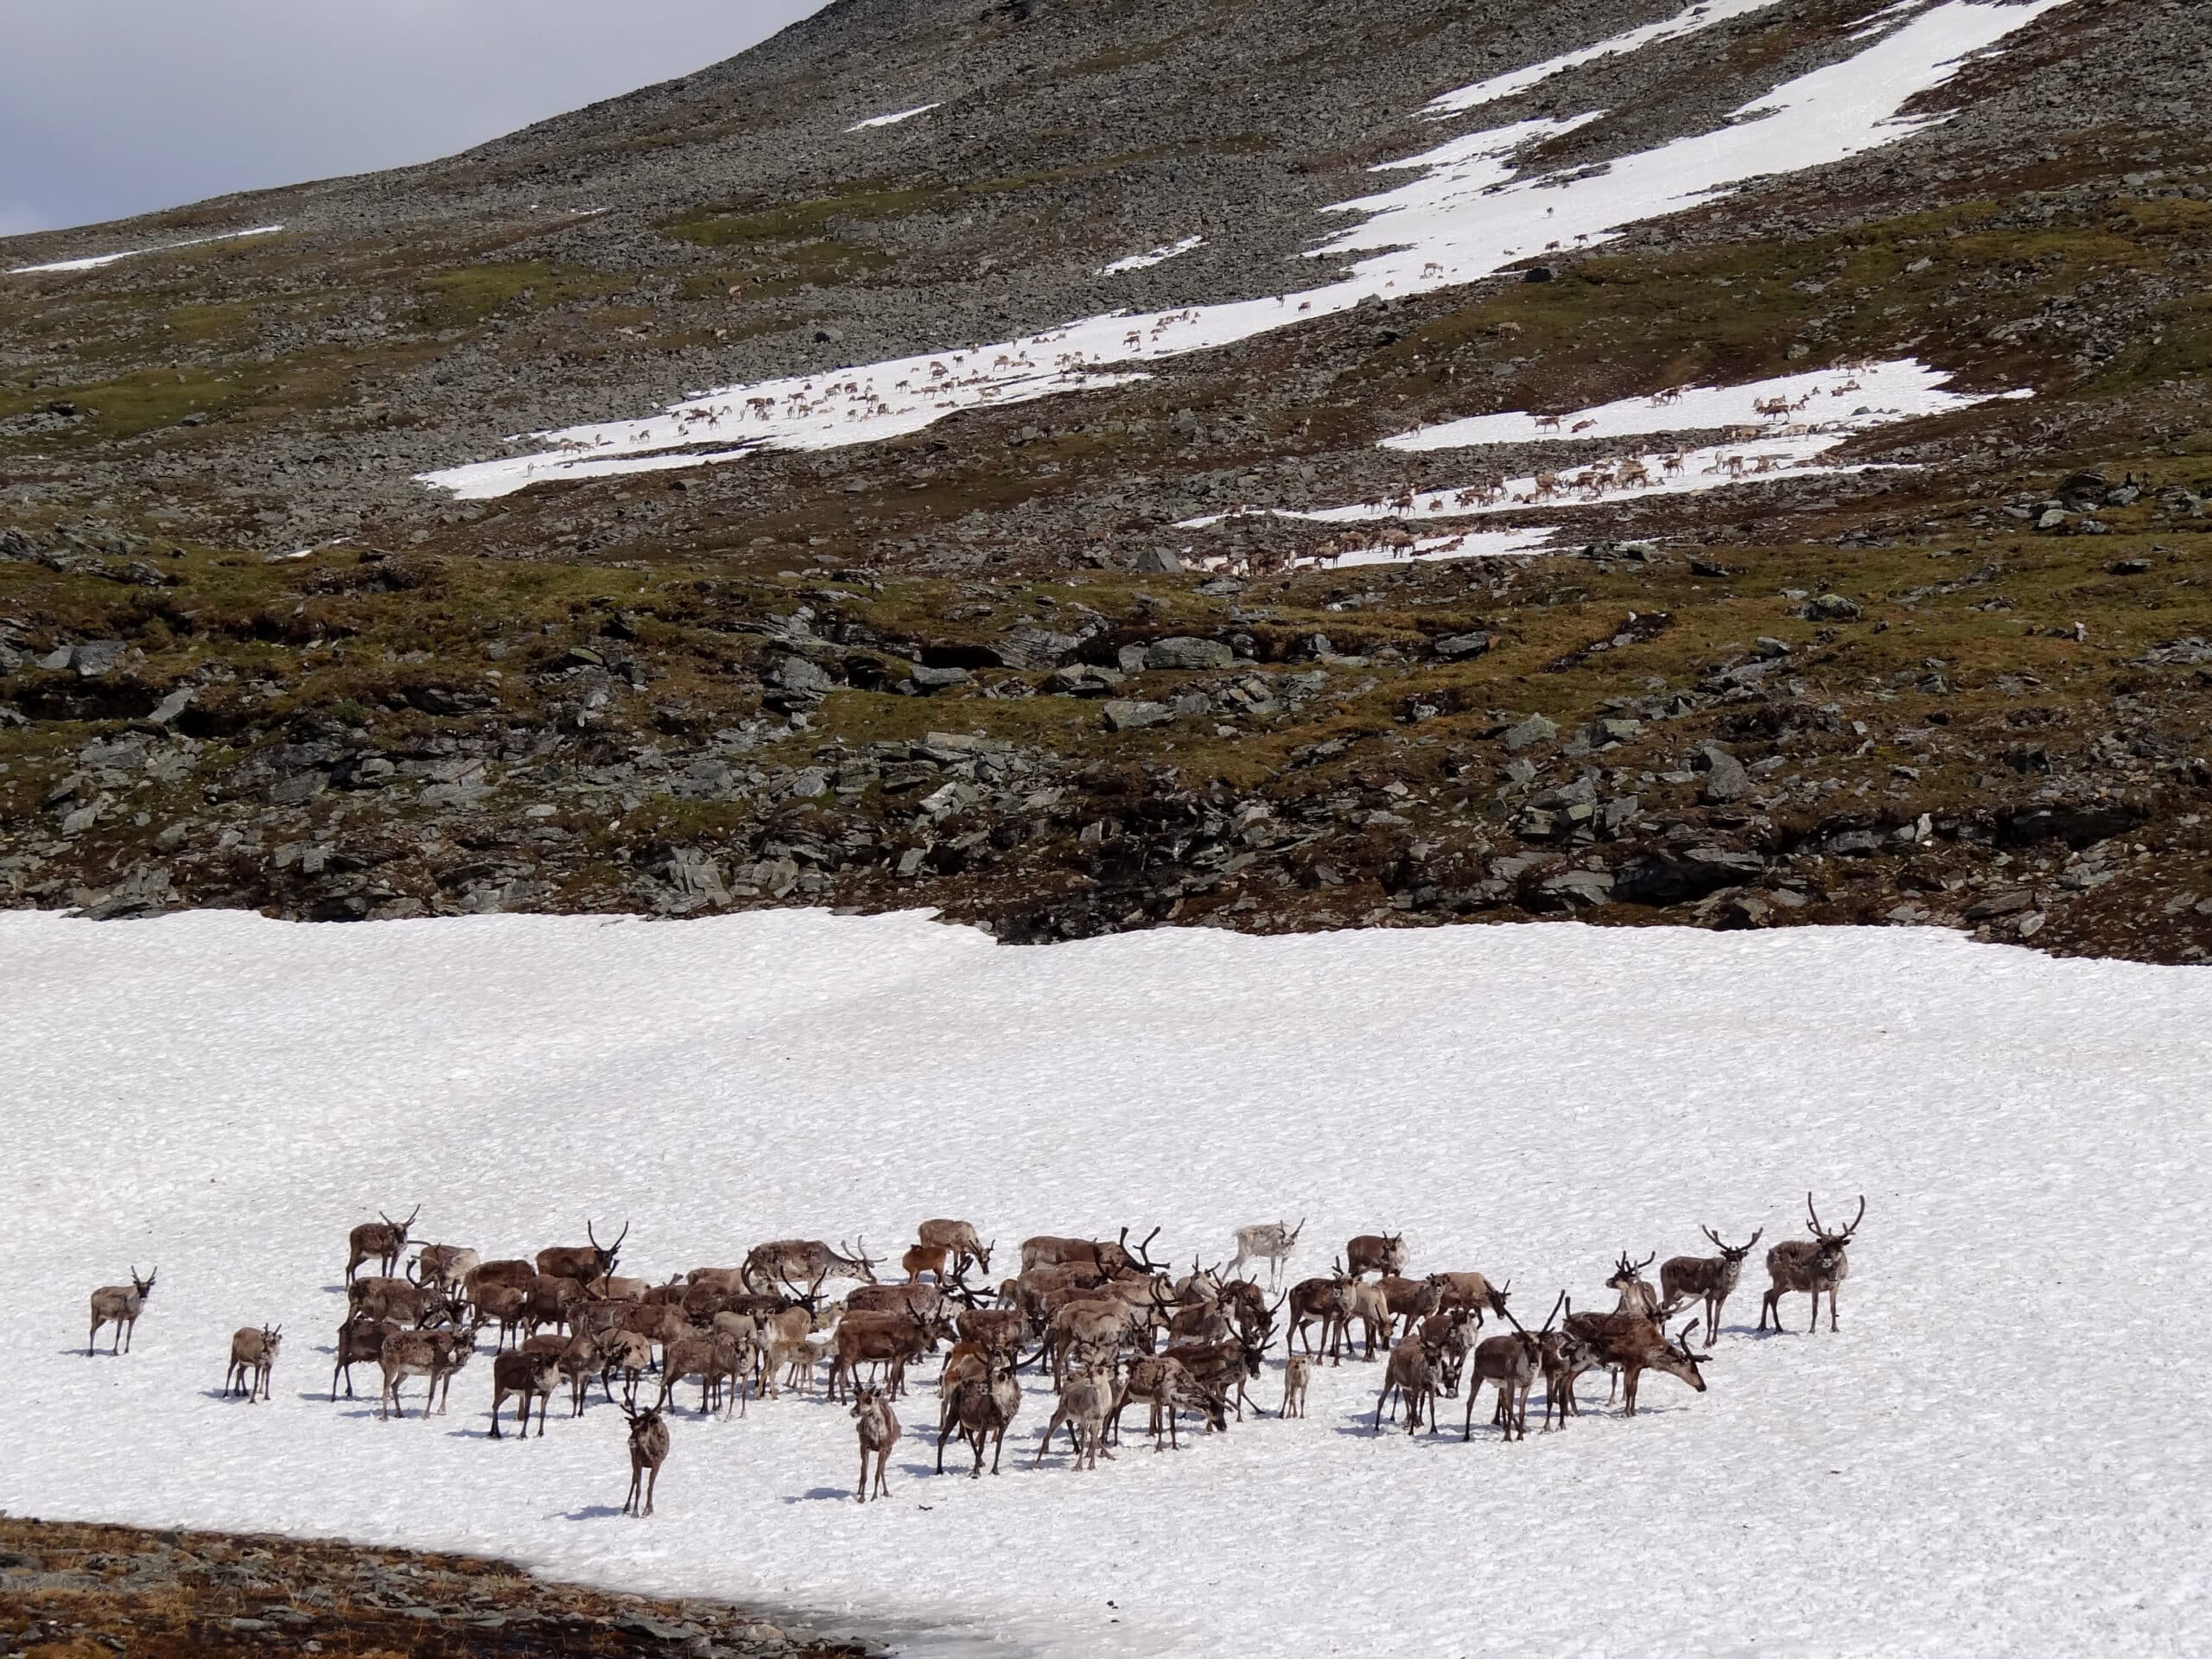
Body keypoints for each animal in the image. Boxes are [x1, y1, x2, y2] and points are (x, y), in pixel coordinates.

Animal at [623, 1405, 670, 1517]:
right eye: (631, 1427)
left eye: (645, 1428)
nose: (631, 1441)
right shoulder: (638, 1462)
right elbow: (638, 1488)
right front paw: (635, 1512)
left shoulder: (657, 1464)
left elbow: (650, 1488)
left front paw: (647, 1511)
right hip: (633, 1459)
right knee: (634, 1480)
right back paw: (626, 1507)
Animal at [852, 1385, 901, 1503]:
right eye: (857, 1399)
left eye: (869, 1399)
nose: (853, 1412)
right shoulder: (865, 1447)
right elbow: (864, 1475)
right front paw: (862, 1498)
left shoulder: (883, 1448)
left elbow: (877, 1474)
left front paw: (874, 1496)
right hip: (861, 1448)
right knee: (862, 1469)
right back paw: (859, 1491)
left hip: (889, 1450)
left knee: (882, 1469)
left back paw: (886, 1492)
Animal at [1663, 1227, 1765, 1344]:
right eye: (1727, 1256)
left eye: (1740, 1256)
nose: (1734, 1264)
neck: (1721, 1284)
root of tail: (1662, 1266)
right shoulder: (1709, 1295)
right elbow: (1709, 1321)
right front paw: (1707, 1343)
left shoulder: (1722, 1297)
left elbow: (1717, 1320)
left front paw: (1714, 1341)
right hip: (1668, 1287)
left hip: (1678, 1294)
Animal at [1759, 1194, 1864, 1334]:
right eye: (1823, 1246)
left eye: (1839, 1247)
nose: (1826, 1260)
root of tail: (1769, 1254)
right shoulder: (1814, 1284)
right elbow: (1815, 1309)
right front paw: (1812, 1330)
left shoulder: (1835, 1286)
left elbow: (1833, 1309)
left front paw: (1835, 1329)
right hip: (1780, 1279)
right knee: (1773, 1298)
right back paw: (1778, 1327)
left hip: (1788, 1285)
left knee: (1767, 1293)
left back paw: (1762, 1326)